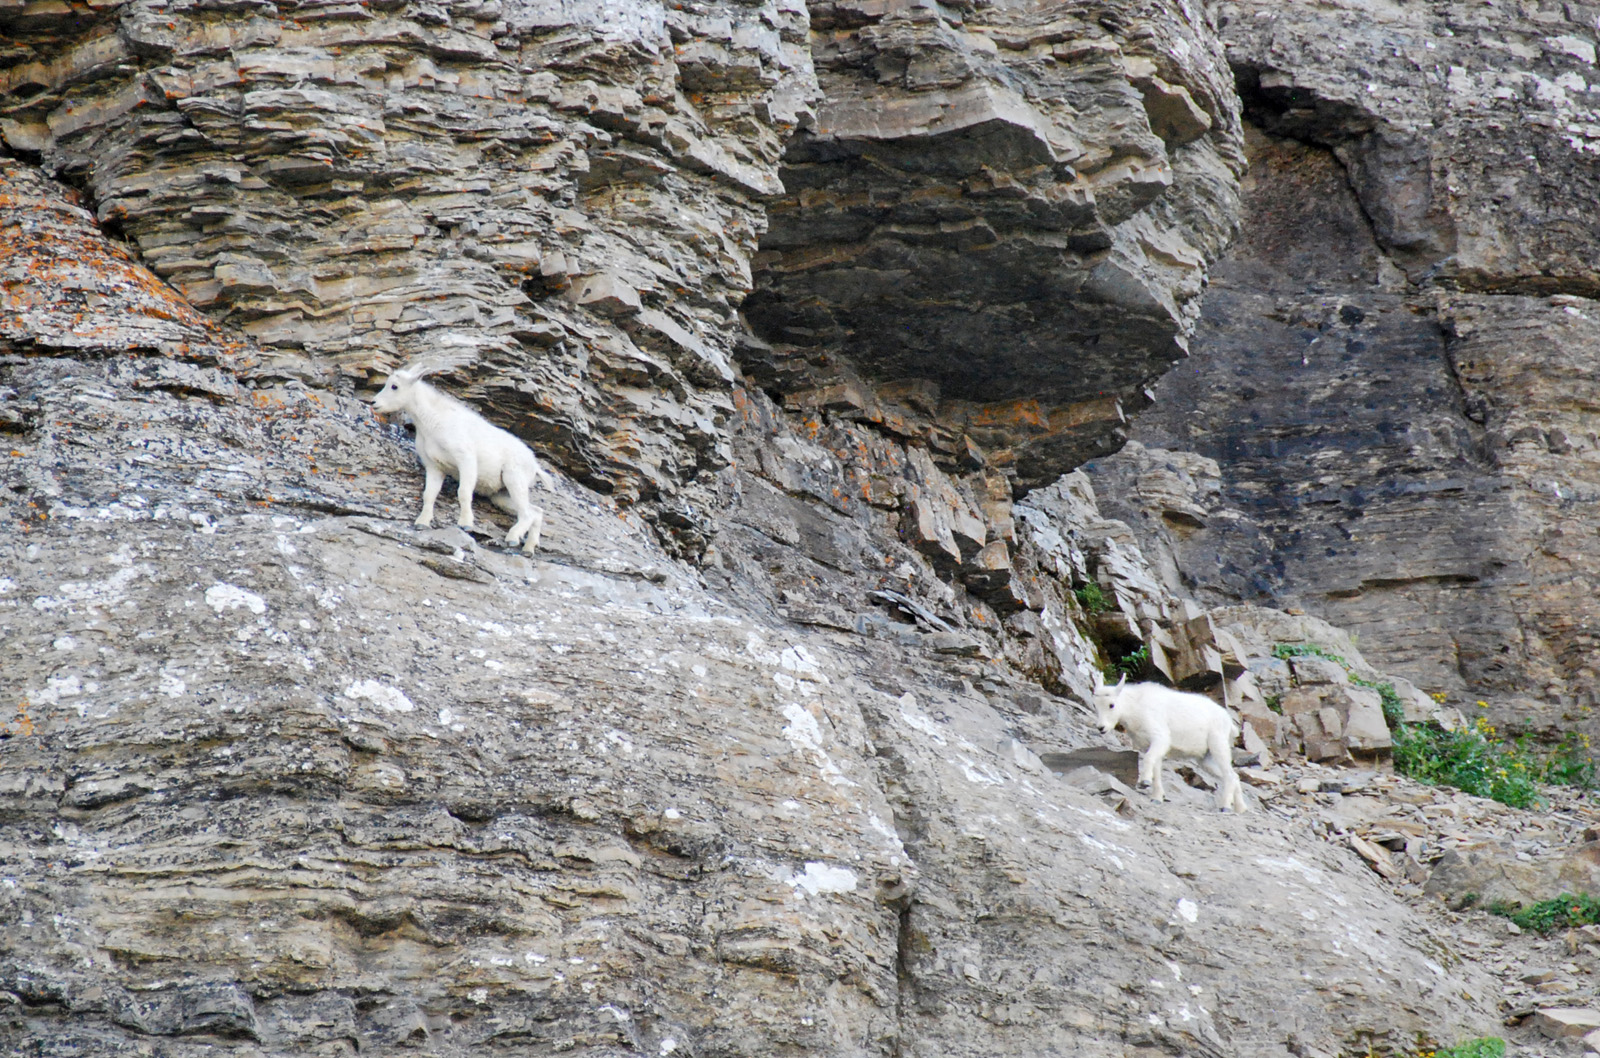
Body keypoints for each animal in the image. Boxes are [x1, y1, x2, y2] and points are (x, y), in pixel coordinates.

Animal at [371, 352, 553, 553]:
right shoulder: (434, 467)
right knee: (536, 512)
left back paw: (513, 538)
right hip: (501, 494)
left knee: (528, 513)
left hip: (514, 478)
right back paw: (528, 548)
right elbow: (429, 494)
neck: (432, 422)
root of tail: (535, 465)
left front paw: (465, 524)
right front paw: (422, 522)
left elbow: (464, 492)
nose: (374, 403)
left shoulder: (465, 459)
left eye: (394, 386)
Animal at [1091, 673, 1248, 812]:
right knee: (1234, 776)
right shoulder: (1150, 745)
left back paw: (1225, 807)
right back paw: (1240, 808)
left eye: (1111, 705)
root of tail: (1229, 721)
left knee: (1229, 775)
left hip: (1218, 745)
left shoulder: (1160, 738)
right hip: (1205, 759)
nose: (1101, 728)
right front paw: (1156, 798)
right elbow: (1156, 769)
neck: (1135, 708)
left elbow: (1148, 759)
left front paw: (1144, 782)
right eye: (1096, 705)